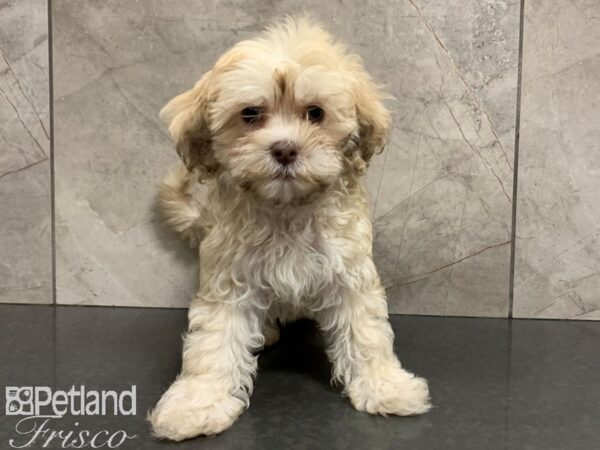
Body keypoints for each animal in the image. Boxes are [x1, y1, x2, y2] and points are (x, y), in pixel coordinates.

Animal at [150, 16, 432, 440]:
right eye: (251, 114)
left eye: (314, 113)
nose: (284, 149)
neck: (287, 208)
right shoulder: (228, 277)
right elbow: (214, 340)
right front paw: (197, 403)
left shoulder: (350, 271)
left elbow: (365, 332)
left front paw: (385, 387)